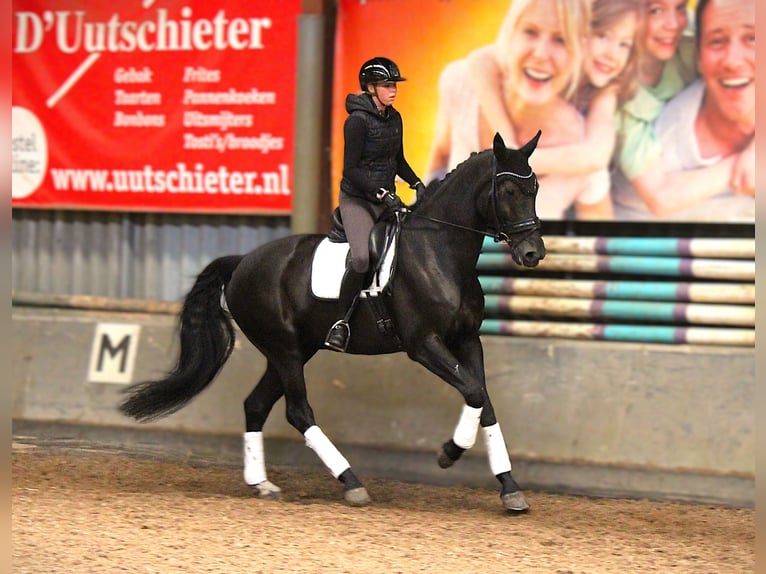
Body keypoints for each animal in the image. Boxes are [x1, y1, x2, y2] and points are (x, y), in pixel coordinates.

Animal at [119, 131, 546, 512]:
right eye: (509, 191)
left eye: (535, 188)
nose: (533, 253)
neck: (439, 250)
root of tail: (241, 263)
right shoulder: (424, 344)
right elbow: (472, 391)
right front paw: (449, 453)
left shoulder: (467, 340)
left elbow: (483, 401)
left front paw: (510, 488)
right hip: (285, 350)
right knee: (298, 411)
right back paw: (351, 482)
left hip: (293, 350)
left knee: (256, 405)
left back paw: (262, 483)